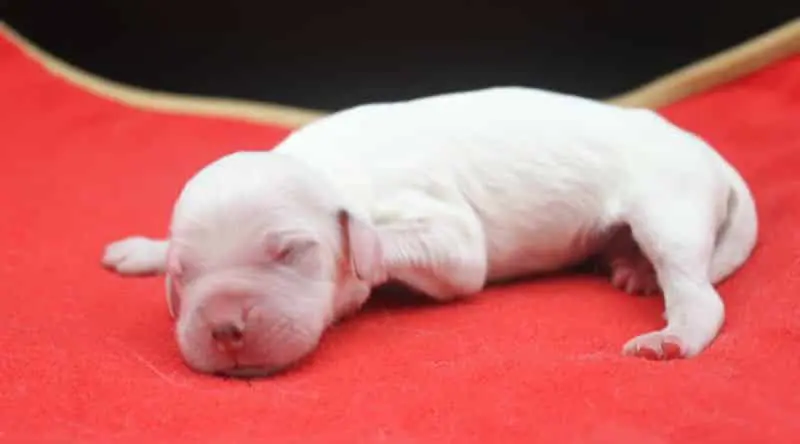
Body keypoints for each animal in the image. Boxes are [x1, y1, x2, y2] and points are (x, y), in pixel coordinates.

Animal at [102, 87, 758, 377]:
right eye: (184, 275)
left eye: (289, 253)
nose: (224, 328)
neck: (325, 166)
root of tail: (709, 154)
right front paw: (144, 250)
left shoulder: (447, 232)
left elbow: (433, 249)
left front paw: (365, 256)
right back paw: (632, 269)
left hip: (665, 205)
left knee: (699, 292)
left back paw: (672, 333)